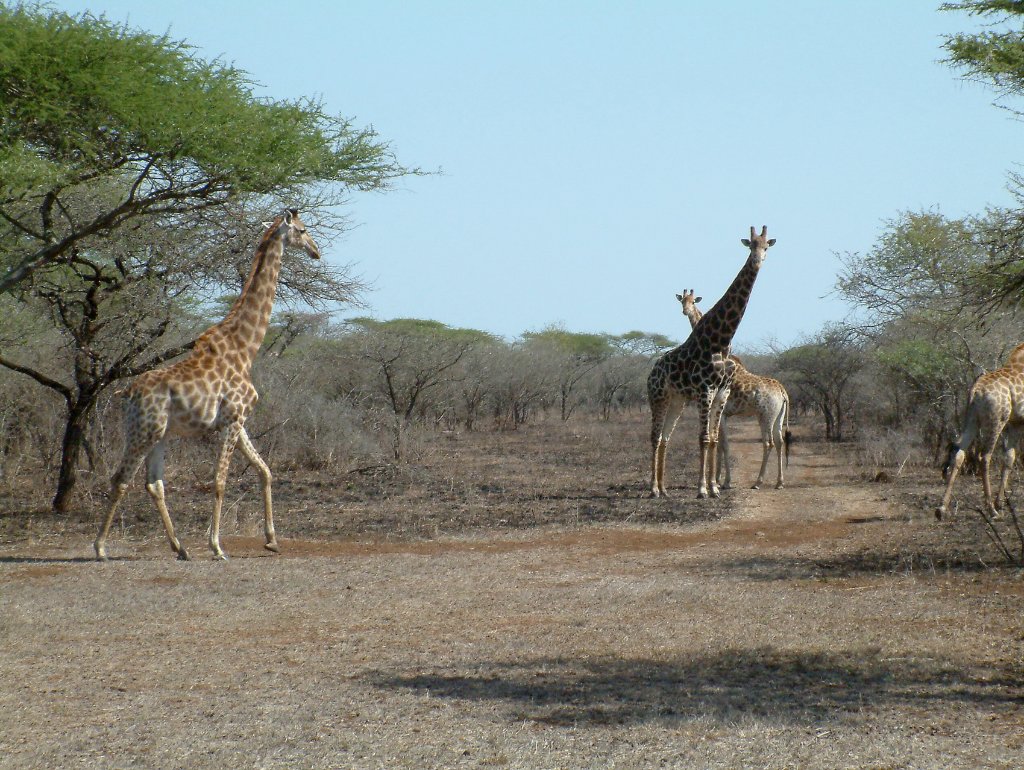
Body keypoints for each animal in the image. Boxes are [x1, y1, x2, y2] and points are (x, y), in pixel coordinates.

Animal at [95, 208, 321, 561]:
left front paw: (271, 540)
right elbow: (219, 481)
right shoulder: (231, 420)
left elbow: (265, 470)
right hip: (143, 431)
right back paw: (101, 548)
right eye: (302, 230)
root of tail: (125, 393)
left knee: (153, 483)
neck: (245, 348)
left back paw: (181, 548)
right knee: (121, 479)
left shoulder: (238, 420)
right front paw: (216, 546)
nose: (316, 251)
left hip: (159, 434)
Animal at [647, 224, 774, 499]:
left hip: (677, 400)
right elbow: (704, 438)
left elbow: (714, 439)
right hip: (658, 396)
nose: (757, 261)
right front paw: (703, 489)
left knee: (665, 438)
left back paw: (663, 488)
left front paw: (715, 487)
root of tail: (651, 371)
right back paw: (652, 489)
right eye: (751, 245)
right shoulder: (705, 390)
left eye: (766, 246)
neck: (721, 339)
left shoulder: (721, 392)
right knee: (654, 437)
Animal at [675, 288, 794, 487]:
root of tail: (783, 392)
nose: (685, 311)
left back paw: (758, 482)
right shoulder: (722, 414)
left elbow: (724, 445)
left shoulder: (723, 413)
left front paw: (723, 481)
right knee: (779, 442)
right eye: (682, 301)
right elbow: (720, 444)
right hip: (778, 416)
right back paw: (779, 482)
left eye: (693, 301)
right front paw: (718, 479)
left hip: (765, 415)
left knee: (768, 443)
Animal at [937, 344, 1024, 520]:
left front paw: (1000, 503)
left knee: (959, 453)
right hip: (996, 421)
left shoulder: (1016, 423)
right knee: (985, 457)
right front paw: (998, 505)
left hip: (972, 420)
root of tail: (975, 391)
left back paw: (942, 509)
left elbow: (1010, 457)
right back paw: (991, 510)